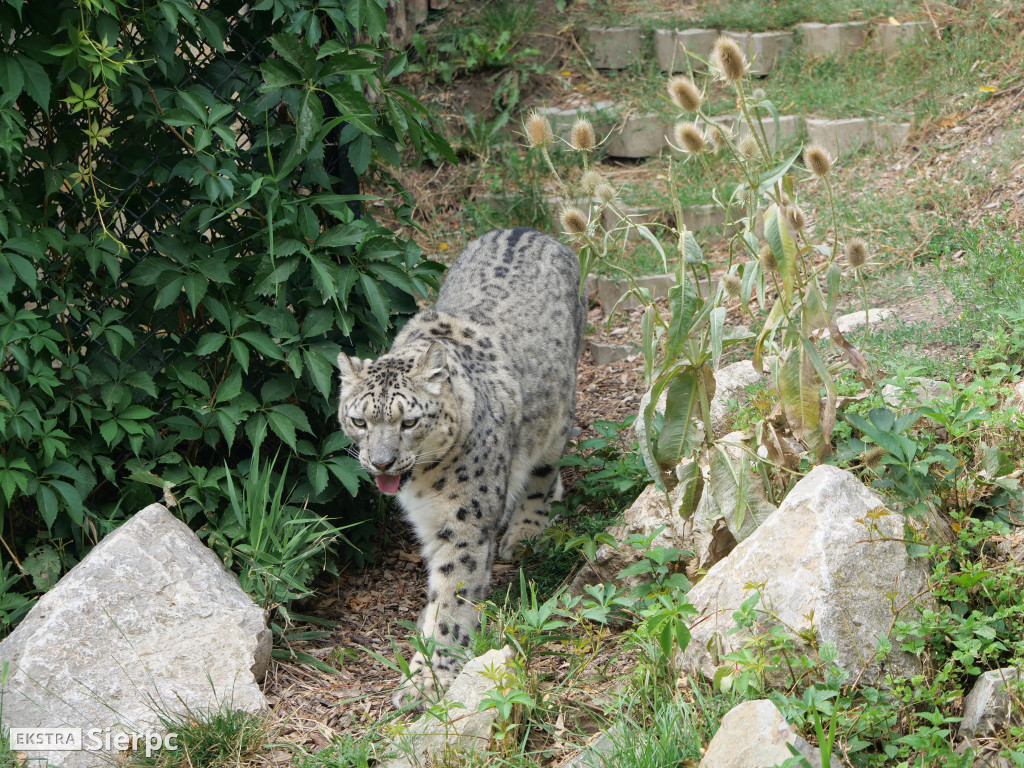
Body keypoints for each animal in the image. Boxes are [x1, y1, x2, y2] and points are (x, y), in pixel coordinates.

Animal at [337, 228, 585, 708]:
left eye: (409, 421)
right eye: (359, 420)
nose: (381, 461)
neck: (423, 486)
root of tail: (528, 229)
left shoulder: (463, 523)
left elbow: (454, 598)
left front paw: (429, 678)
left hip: (557, 414)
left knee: (542, 472)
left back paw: (525, 530)